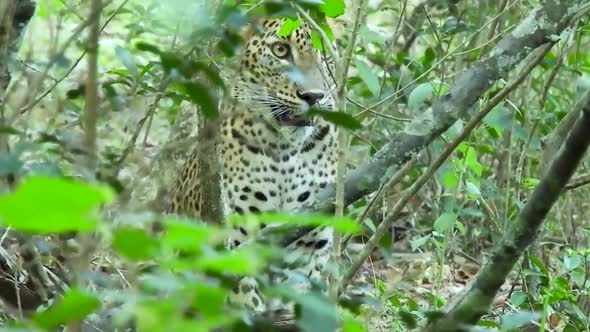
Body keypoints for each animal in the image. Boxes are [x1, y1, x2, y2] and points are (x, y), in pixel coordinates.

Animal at [166, 17, 342, 314]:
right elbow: (244, 301)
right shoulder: (235, 242)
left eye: (324, 51)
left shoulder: (310, 246)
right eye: (280, 50)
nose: (313, 96)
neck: (287, 153)